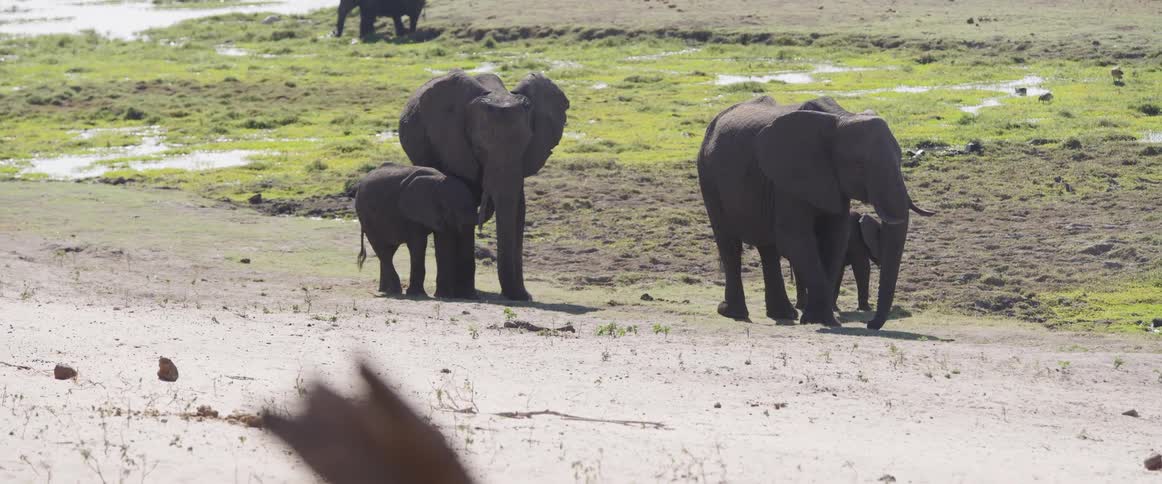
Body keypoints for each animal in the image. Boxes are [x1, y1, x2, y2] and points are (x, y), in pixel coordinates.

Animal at [355, 163, 479, 298]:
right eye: (452, 210)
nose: (471, 296)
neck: (439, 181)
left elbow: (443, 243)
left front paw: (442, 296)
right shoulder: (412, 213)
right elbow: (419, 244)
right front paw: (418, 294)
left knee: (389, 250)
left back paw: (385, 290)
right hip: (366, 216)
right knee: (382, 250)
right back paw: (395, 290)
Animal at [399, 70, 569, 301]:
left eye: (526, 145)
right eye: (479, 148)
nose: (519, 296)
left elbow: (518, 211)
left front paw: (522, 296)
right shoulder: (454, 147)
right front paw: (466, 294)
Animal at [697, 96, 934, 329]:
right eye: (859, 164)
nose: (870, 325)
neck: (842, 119)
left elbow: (834, 238)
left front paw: (816, 319)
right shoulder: (788, 176)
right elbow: (795, 238)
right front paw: (825, 320)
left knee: (768, 248)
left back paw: (783, 313)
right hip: (708, 178)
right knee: (729, 243)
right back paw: (732, 312)